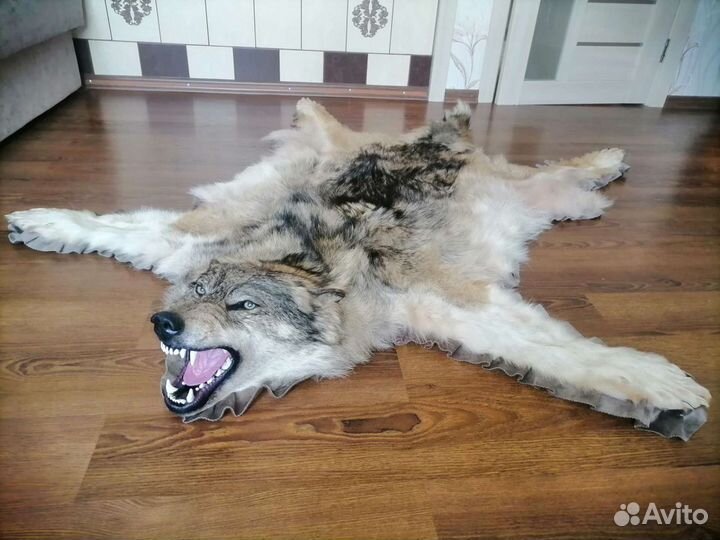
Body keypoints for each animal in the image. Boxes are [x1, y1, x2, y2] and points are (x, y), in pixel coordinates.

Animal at [5, 99, 710, 439]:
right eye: (199, 290)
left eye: (242, 305)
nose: (163, 322)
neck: (326, 267)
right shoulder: (185, 242)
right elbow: (115, 225)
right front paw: (43, 222)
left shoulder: (458, 301)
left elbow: (572, 354)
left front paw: (663, 385)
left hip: (531, 193)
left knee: (558, 170)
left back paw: (608, 159)